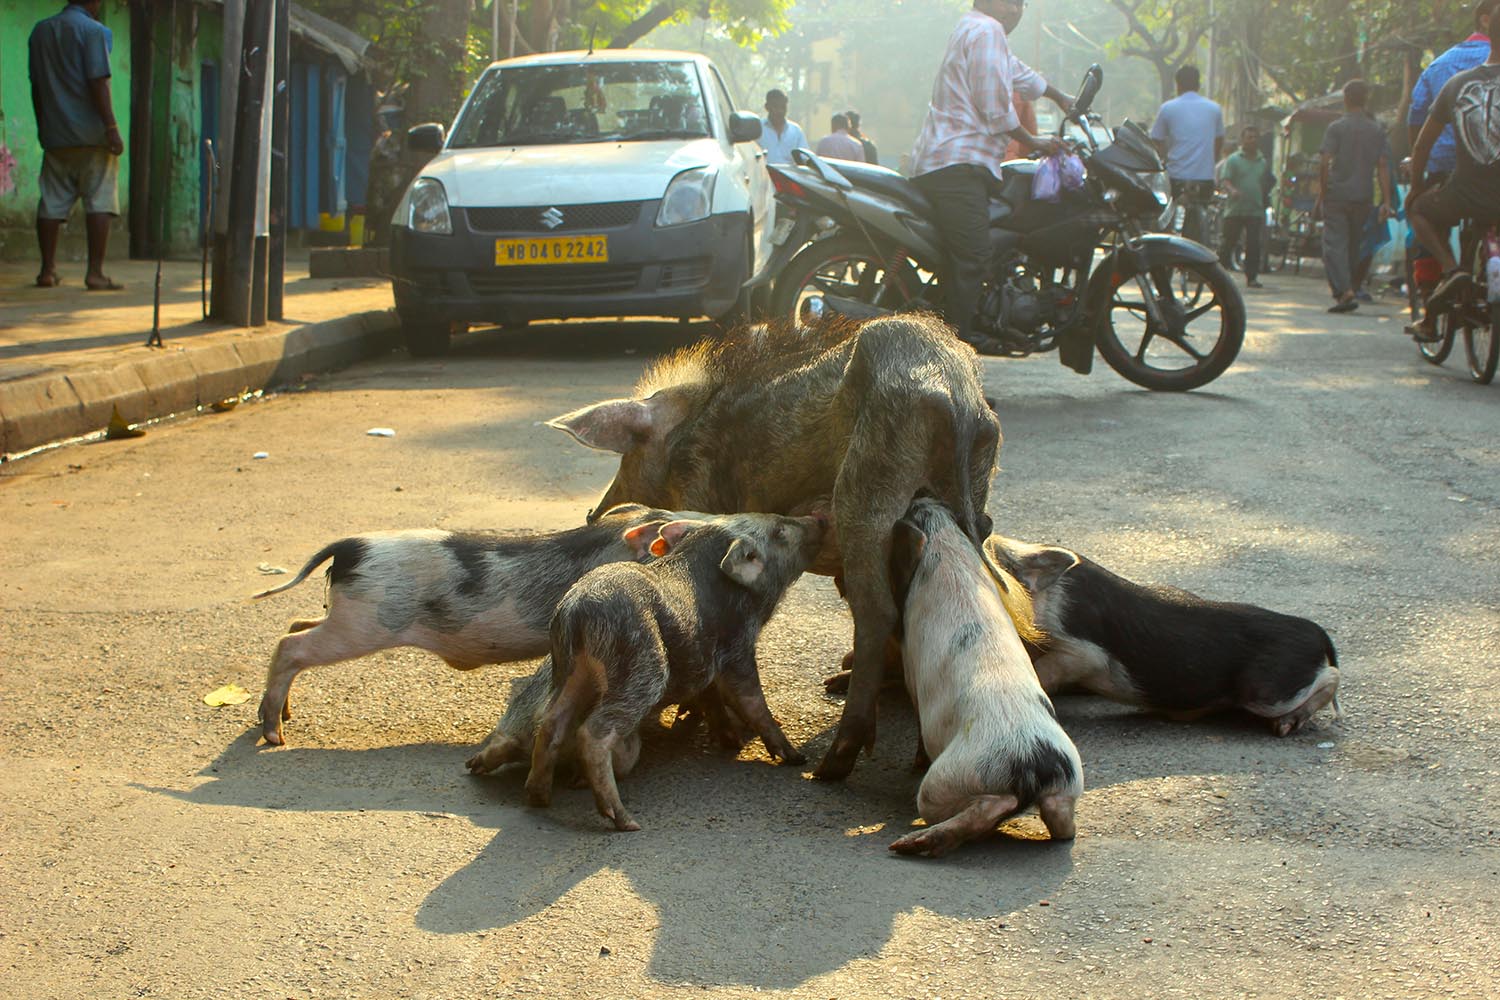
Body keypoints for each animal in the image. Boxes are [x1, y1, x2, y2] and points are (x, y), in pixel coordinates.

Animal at [253, 503, 687, 746]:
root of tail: (350, 547)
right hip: (363, 622)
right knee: (289, 646)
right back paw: (275, 735)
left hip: (343, 615)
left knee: (295, 624)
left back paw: (283, 716)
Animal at [528, 512, 828, 833]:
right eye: (779, 531)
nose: (819, 517)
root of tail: (577, 611)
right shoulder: (737, 647)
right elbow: (752, 701)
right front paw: (797, 758)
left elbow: (713, 700)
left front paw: (731, 741)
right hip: (642, 669)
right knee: (592, 732)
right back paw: (627, 822)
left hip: (571, 670)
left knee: (550, 721)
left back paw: (539, 797)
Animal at [546, 314, 1038, 779]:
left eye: (627, 454)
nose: (593, 513)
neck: (685, 433)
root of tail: (952, 394)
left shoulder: (698, 498)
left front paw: (720, 733)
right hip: (969, 492)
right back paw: (911, 755)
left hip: (867, 493)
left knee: (877, 613)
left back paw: (830, 766)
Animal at [882, 500, 1086, 863]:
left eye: (915, 513)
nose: (922, 498)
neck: (947, 547)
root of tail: (1031, 759)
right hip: (1069, 780)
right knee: (1063, 826)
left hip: (951, 778)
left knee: (983, 805)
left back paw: (909, 845)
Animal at [984, 536, 1350, 740]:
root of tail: (1316, 633)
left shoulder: (1084, 650)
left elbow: (1050, 668)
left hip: (1266, 688)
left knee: (1330, 677)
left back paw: (1285, 727)